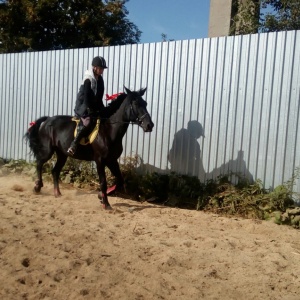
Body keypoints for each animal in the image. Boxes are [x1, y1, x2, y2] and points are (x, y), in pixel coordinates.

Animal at [24, 86, 154, 209]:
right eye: (136, 104)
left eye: (146, 103)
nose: (149, 125)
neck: (109, 130)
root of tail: (48, 119)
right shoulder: (100, 160)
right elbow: (103, 182)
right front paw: (106, 204)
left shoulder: (112, 160)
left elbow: (120, 180)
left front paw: (101, 196)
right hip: (48, 150)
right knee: (39, 163)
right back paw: (37, 187)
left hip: (62, 154)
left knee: (55, 171)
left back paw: (57, 193)